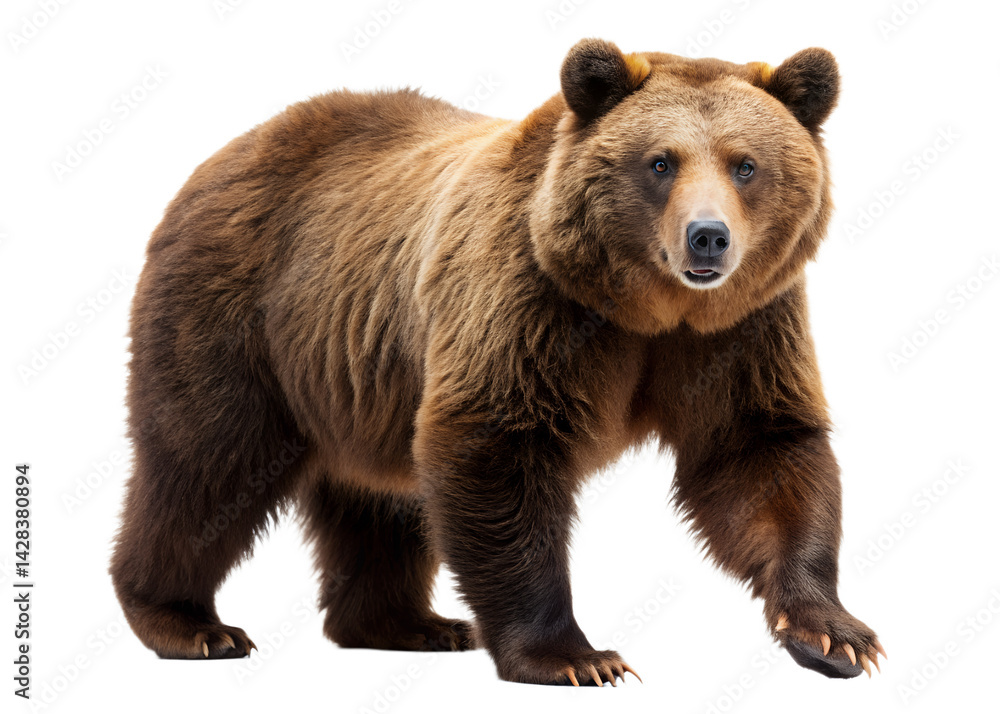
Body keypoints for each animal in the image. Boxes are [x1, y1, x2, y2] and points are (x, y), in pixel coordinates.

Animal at [110, 38, 885, 685]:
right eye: (661, 162)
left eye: (744, 164)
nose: (708, 238)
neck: (648, 309)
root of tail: (222, 154)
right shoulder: (530, 300)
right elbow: (499, 446)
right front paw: (575, 656)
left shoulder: (740, 327)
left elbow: (757, 452)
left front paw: (833, 633)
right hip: (239, 317)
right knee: (206, 464)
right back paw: (188, 622)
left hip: (365, 377)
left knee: (379, 500)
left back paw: (409, 623)